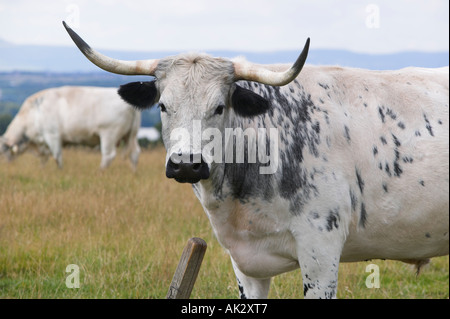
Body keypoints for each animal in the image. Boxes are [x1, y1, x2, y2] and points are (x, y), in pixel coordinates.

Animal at [0, 85, 141, 170]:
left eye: (4, 152)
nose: (7, 166)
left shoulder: (53, 136)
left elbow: (57, 157)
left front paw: (59, 171)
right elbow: (44, 159)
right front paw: (42, 170)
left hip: (109, 135)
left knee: (108, 156)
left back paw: (100, 172)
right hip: (131, 135)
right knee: (134, 153)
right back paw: (133, 173)